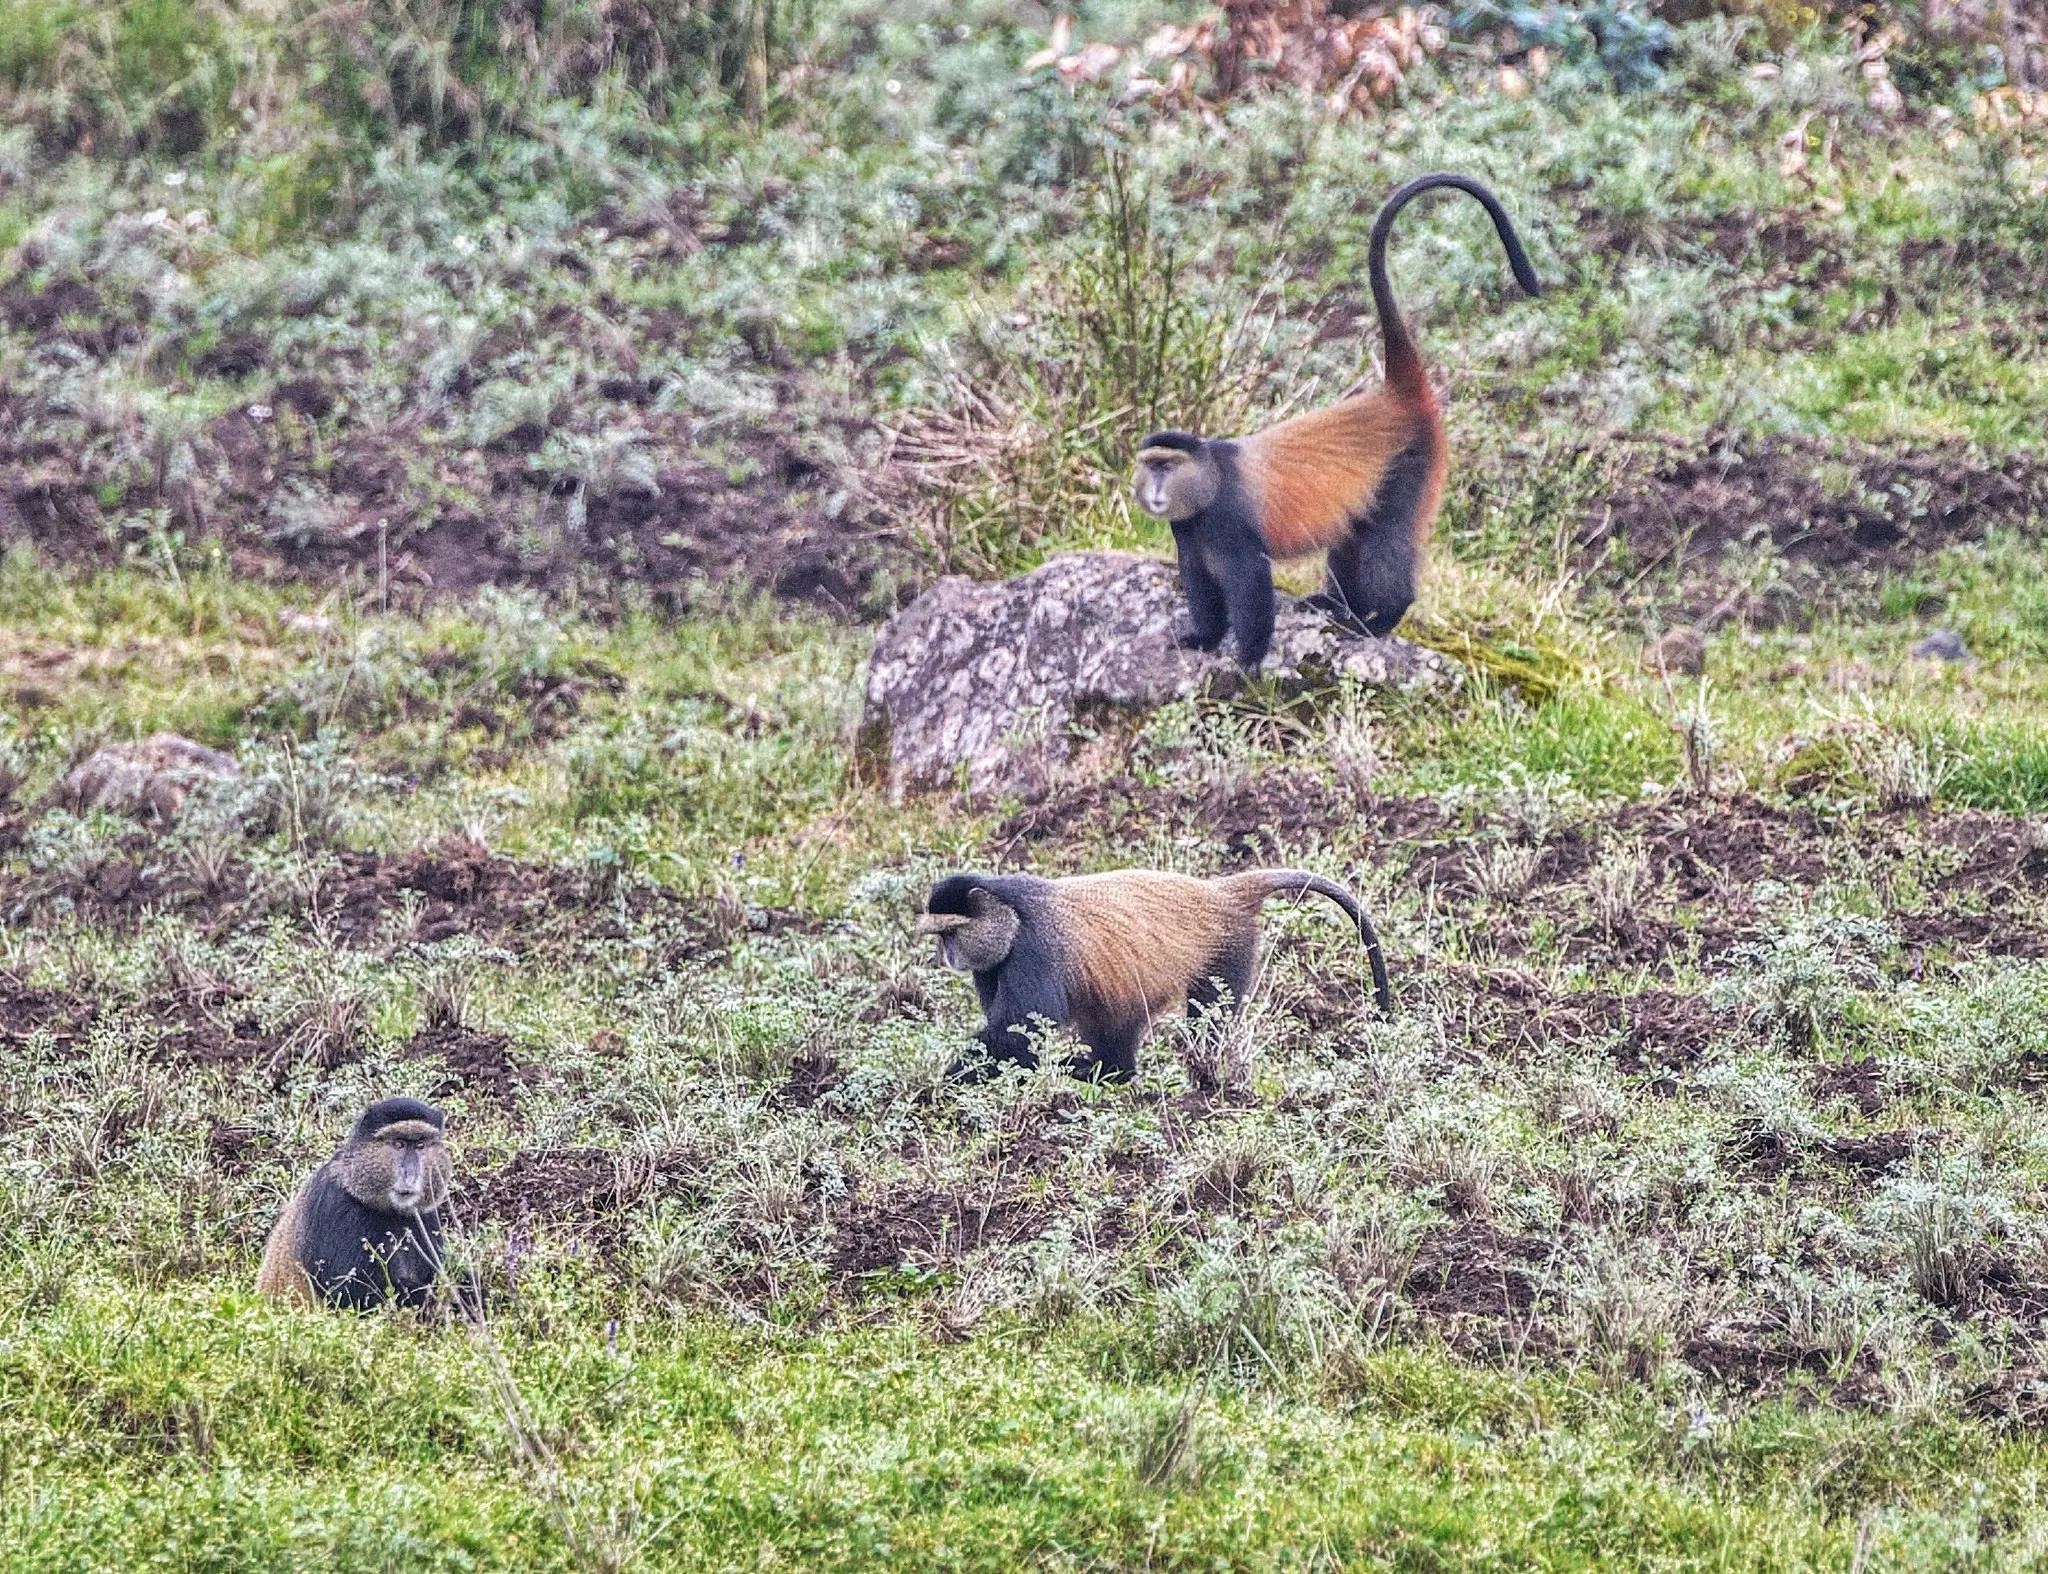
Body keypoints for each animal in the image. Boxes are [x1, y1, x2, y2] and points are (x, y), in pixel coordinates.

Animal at [257, 1097, 452, 1312]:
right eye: (399, 1144)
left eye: (420, 1145)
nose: (410, 1175)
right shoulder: (334, 1204)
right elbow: (350, 1292)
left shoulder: (427, 1215)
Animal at [918, 868, 1391, 1084]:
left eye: (951, 932)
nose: (948, 956)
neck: (1009, 913)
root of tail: (1222, 893)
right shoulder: (993, 964)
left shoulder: (1033, 949)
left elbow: (1022, 1029)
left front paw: (940, 1085)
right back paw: (1111, 1072)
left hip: (1227, 952)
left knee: (1210, 1017)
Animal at [1132, 172, 1543, 669]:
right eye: (1151, 465)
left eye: (1168, 466)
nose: (1156, 489)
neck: (1208, 480)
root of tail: (1397, 397)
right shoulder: (1188, 533)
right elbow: (1200, 587)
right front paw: (1203, 637)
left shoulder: (1231, 527)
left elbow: (1252, 589)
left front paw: (1247, 663)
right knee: (1353, 536)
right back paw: (1337, 605)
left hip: (1409, 468)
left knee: (1386, 542)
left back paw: (1382, 618)